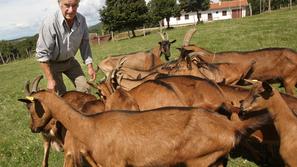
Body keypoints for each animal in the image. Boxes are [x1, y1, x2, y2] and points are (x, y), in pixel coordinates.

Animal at [17, 90, 270, 167]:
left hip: (200, 162)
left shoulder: (116, 164)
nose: (33, 127)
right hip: (216, 161)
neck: (91, 127)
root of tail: (231, 127)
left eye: (32, 109)